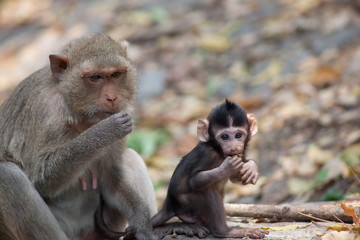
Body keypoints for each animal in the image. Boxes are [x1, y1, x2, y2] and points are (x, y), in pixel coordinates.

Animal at [0, 33, 158, 240]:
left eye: (116, 74)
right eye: (95, 77)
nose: (112, 98)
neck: (75, 108)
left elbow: (110, 179)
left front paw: (142, 219)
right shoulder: (43, 110)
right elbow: (43, 179)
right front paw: (104, 131)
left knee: (131, 157)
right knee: (8, 175)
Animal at [150, 99, 268, 238]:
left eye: (238, 135)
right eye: (224, 137)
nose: (233, 147)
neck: (218, 150)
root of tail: (170, 204)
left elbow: (236, 177)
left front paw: (251, 167)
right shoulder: (207, 154)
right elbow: (194, 181)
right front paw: (226, 167)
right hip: (188, 206)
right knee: (208, 189)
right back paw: (225, 231)